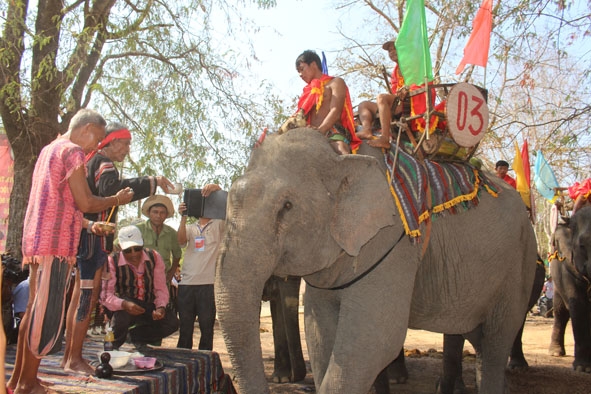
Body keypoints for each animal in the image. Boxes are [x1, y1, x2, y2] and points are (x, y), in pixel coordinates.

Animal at [217, 129, 540, 394]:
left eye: (286, 206)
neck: (339, 153)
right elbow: (318, 333)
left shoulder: (391, 242)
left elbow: (373, 340)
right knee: (479, 337)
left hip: (519, 262)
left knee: (498, 338)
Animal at [544, 206, 591, 372]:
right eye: (582, 245)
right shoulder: (567, 267)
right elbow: (578, 304)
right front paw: (582, 368)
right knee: (561, 312)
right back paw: (556, 353)